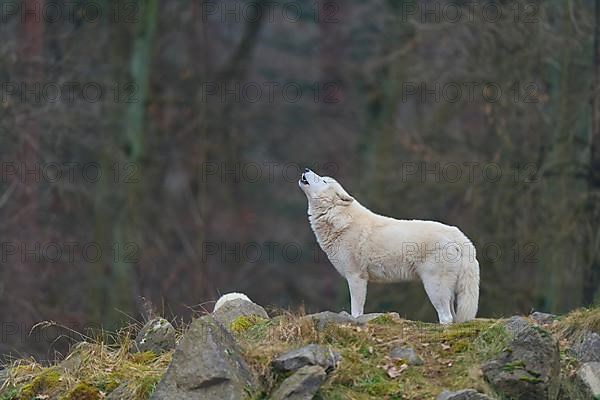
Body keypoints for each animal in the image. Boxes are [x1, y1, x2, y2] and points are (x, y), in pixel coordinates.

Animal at [298, 167, 480, 324]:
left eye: (323, 180)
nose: (306, 169)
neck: (339, 219)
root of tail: (459, 236)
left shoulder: (356, 277)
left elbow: (356, 311)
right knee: (453, 318)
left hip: (434, 287)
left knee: (446, 317)